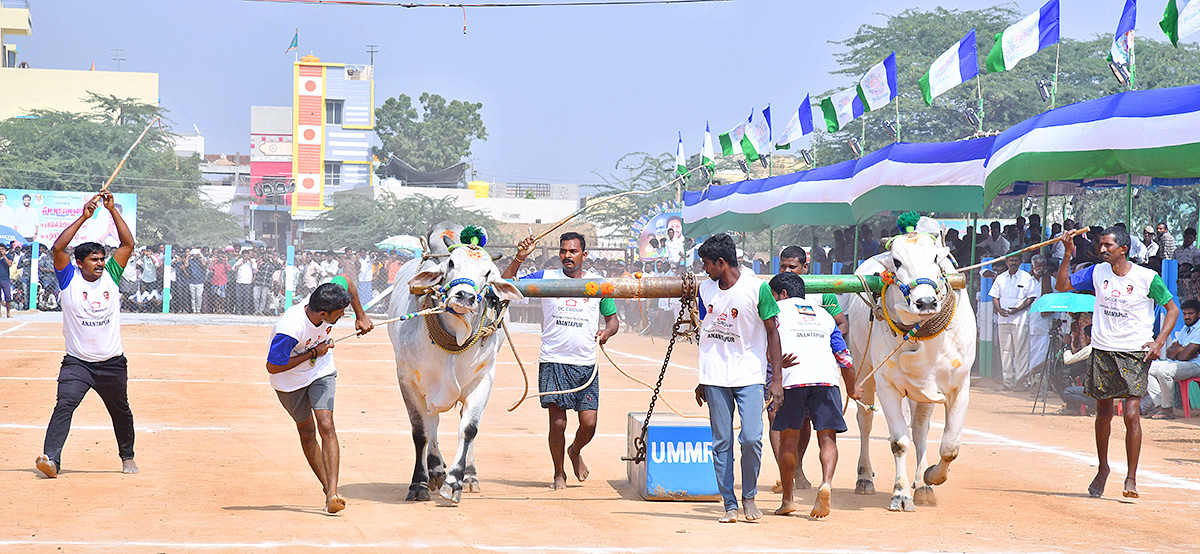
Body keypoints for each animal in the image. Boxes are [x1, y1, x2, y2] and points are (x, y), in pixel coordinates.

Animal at [388, 226, 520, 503]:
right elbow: (421, 432)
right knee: (432, 422)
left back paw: (468, 476)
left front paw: (455, 482)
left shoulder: (483, 380)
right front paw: (419, 483)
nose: (465, 296)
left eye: (488, 272)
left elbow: (468, 429)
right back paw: (435, 468)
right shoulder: (408, 380)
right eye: (450, 263)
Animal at [844, 224, 974, 510]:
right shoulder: (887, 386)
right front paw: (901, 494)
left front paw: (931, 476)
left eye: (936, 258)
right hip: (863, 366)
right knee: (865, 422)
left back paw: (923, 484)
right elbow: (898, 442)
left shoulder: (959, 386)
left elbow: (950, 446)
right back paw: (864, 477)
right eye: (897, 261)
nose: (926, 302)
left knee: (921, 430)